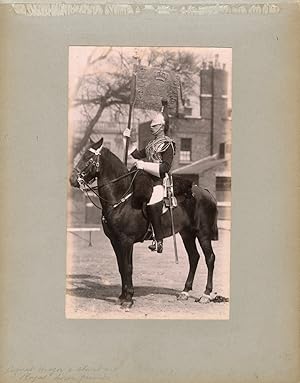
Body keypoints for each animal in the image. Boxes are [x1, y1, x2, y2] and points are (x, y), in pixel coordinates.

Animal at [69, 137, 218, 308]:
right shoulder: (116, 241)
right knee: (194, 257)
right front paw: (123, 295)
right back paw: (185, 291)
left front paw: (128, 298)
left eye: (88, 158)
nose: (72, 179)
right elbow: (122, 267)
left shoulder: (126, 241)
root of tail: (206, 192)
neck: (121, 197)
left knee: (210, 258)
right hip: (186, 234)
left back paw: (206, 294)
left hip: (203, 234)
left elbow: (127, 267)